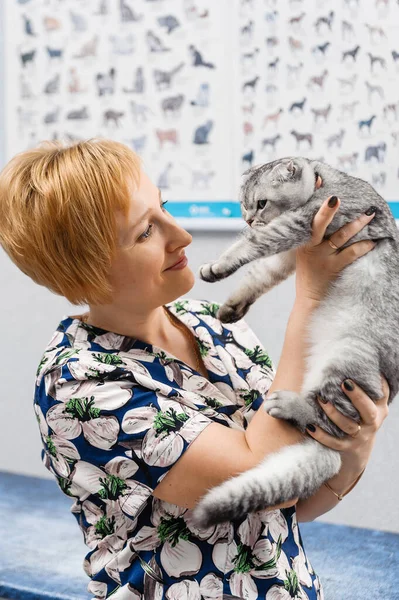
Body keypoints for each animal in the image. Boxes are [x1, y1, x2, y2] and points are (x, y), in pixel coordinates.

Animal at [191, 157, 399, 528]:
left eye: (261, 203)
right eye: (243, 204)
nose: (248, 218)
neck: (323, 182)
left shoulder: (299, 224)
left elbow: (252, 244)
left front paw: (220, 263)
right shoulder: (289, 256)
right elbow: (260, 275)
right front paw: (230, 303)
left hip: (346, 356)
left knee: (328, 416)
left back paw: (289, 404)